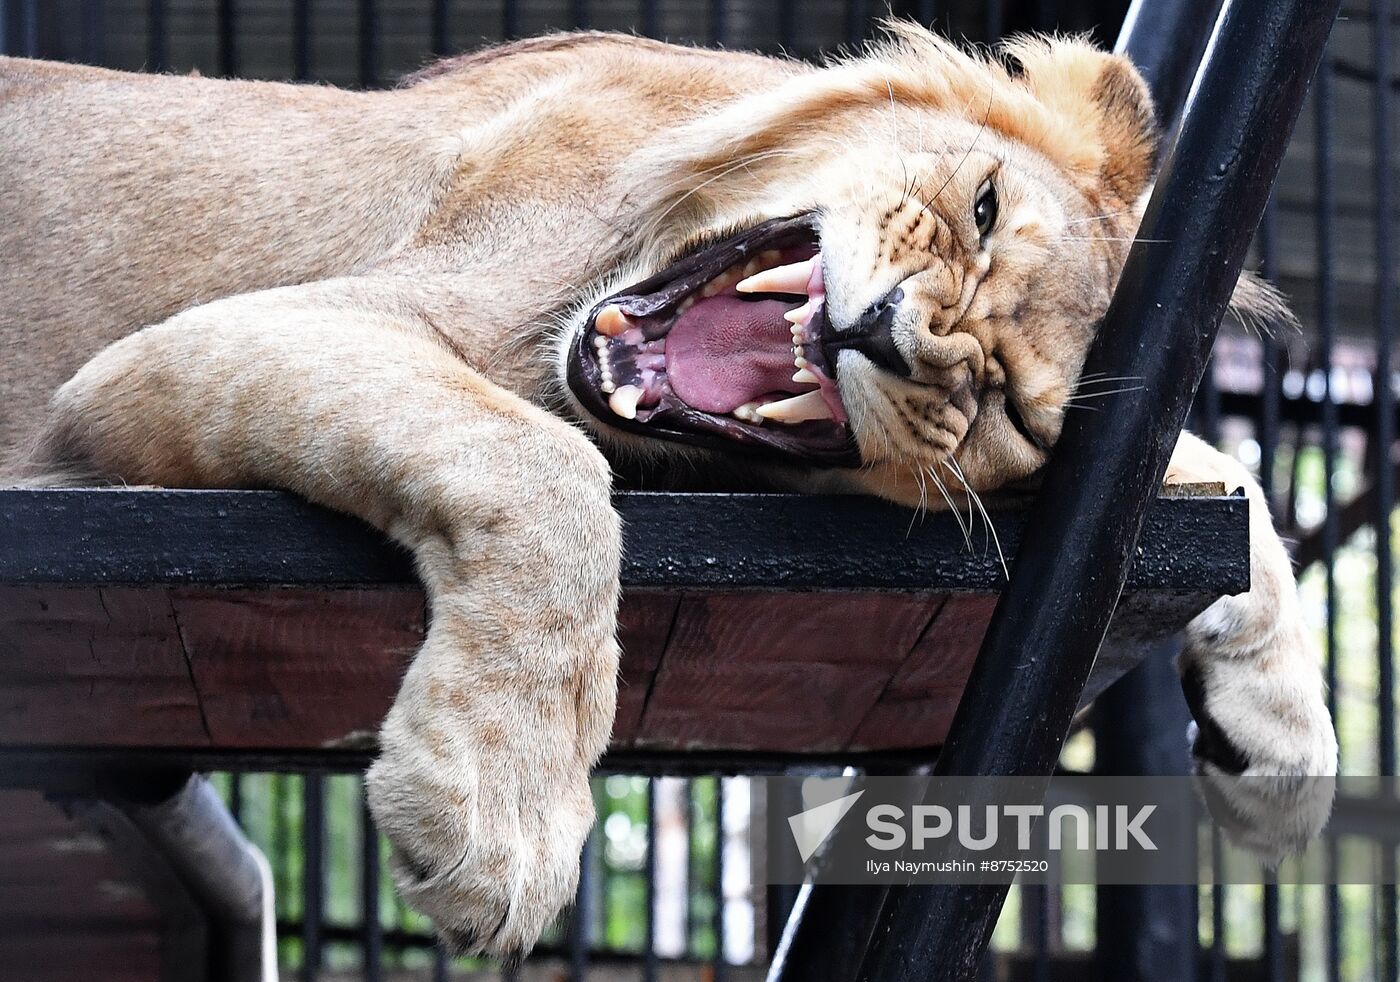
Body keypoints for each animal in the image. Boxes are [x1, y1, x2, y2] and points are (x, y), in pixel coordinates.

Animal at [0, 26, 1332, 963]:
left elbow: (1219, 466)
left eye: (1012, 412)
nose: (900, 340)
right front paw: (501, 819)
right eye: (985, 208)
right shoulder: (185, 351)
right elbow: (548, 470)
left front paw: (1281, 743)